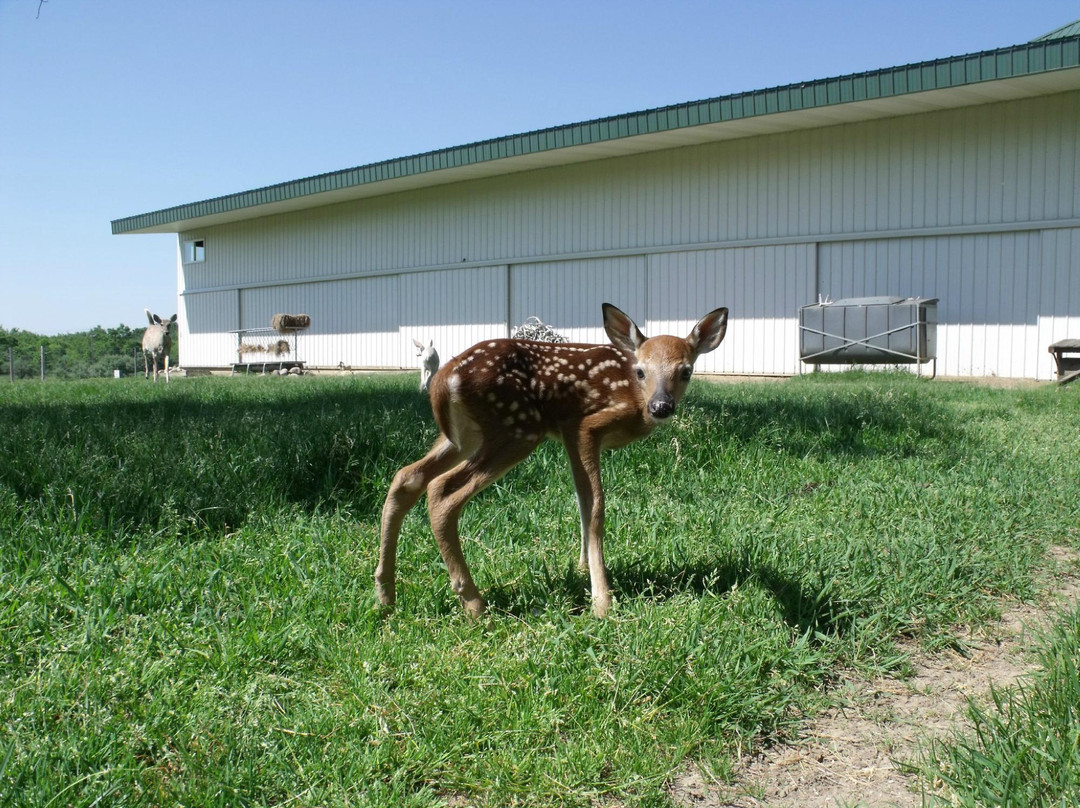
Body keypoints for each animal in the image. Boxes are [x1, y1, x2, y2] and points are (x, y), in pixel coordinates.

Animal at [378, 304, 725, 617]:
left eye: (686, 371)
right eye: (640, 371)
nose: (661, 406)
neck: (636, 400)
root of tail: (443, 380)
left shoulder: (570, 435)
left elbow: (582, 501)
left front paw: (583, 569)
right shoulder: (583, 425)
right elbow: (596, 506)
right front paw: (602, 603)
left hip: (464, 437)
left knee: (407, 477)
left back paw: (385, 595)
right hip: (516, 428)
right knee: (441, 491)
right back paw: (475, 605)